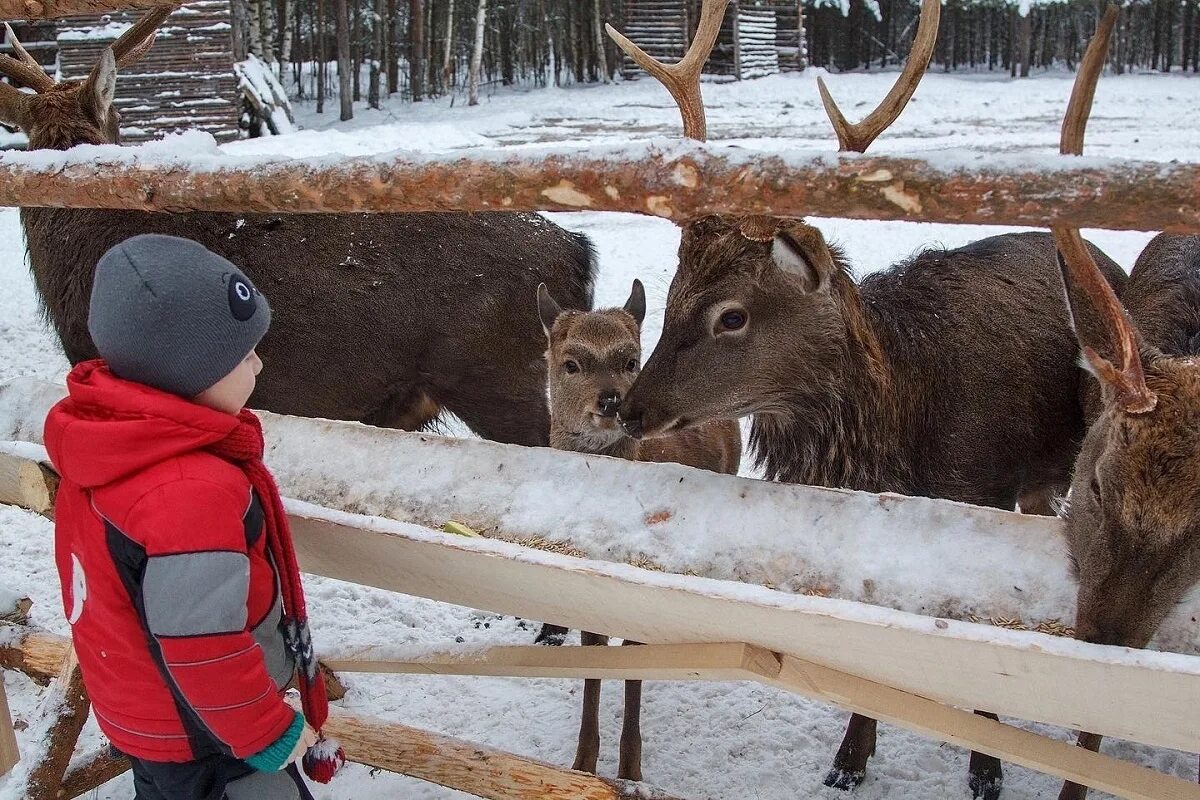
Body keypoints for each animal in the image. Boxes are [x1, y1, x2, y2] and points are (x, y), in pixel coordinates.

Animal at [537, 277, 739, 782]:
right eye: (571, 362)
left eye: (631, 361)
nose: (611, 400)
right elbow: (593, 651)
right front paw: (583, 763)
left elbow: (632, 654)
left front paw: (630, 768)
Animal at [609, 3, 1123, 796]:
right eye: (671, 296)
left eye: (733, 315)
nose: (632, 408)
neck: (899, 440)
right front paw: (850, 756)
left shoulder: (978, 491)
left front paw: (985, 767)